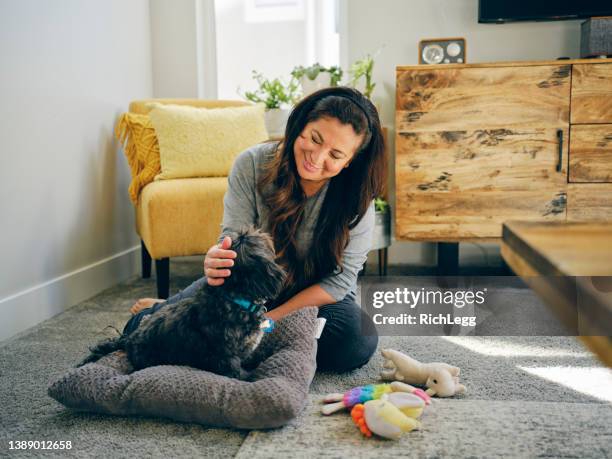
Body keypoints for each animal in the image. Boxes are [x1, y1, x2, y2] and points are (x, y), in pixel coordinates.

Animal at [77, 227, 286, 380]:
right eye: (253, 238)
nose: (263, 232)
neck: (233, 297)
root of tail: (128, 339)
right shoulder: (226, 358)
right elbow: (239, 373)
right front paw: (253, 376)